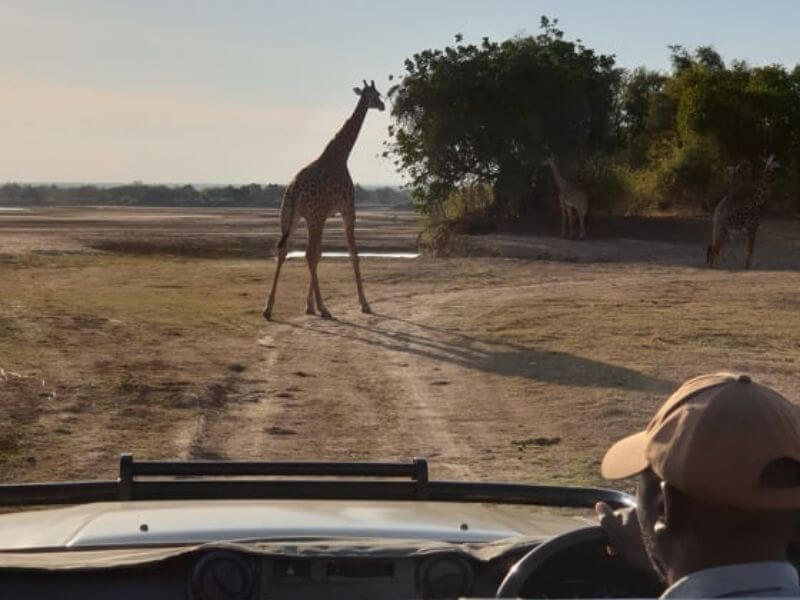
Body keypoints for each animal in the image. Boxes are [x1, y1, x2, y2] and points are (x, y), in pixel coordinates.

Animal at [262, 82, 384, 322]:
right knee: (307, 254)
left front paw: (309, 306)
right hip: (312, 218)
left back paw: (269, 308)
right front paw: (364, 304)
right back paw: (325, 308)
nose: (383, 105)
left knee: (284, 251)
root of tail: (294, 189)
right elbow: (352, 254)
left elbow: (319, 255)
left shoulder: (324, 216)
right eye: (376, 95)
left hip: (290, 216)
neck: (342, 155)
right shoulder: (348, 209)